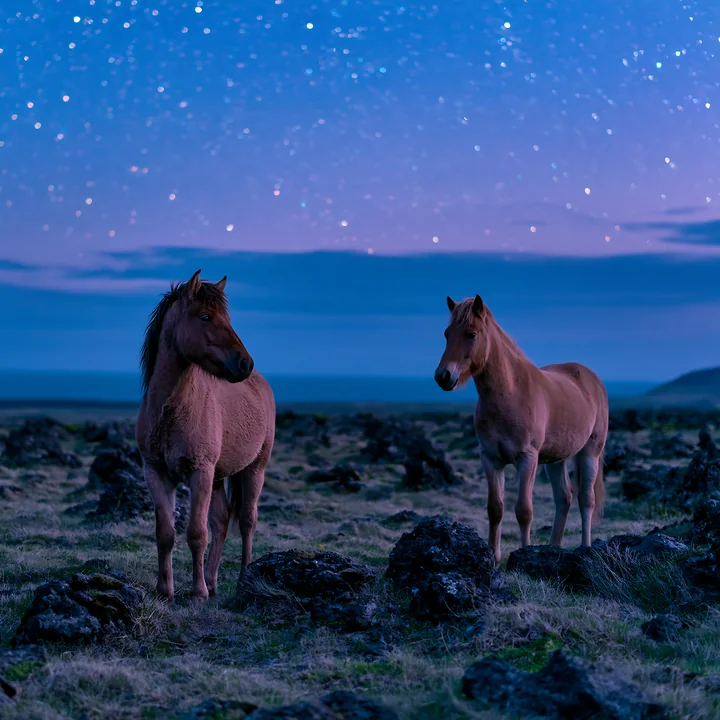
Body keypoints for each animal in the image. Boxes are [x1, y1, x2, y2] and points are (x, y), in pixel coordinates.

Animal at [136, 269, 275, 603]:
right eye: (205, 316)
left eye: (227, 318)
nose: (244, 364)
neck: (171, 410)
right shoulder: (156, 473)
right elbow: (166, 533)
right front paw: (165, 591)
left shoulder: (200, 472)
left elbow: (196, 534)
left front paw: (197, 592)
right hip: (218, 477)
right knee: (221, 521)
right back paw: (212, 582)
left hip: (254, 470)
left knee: (247, 521)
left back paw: (242, 580)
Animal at [434, 294, 607, 565]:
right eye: (447, 333)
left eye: (471, 334)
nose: (443, 376)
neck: (509, 394)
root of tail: (591, 378)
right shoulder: (491, 459)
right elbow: (495, 509)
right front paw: (494, 558)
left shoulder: (527, 458)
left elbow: (524, 510)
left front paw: (524, 553)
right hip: (556, 459)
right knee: (564, 497)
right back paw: (553, 548)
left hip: (590, 453)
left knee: (586, 499)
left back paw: (585, 547)